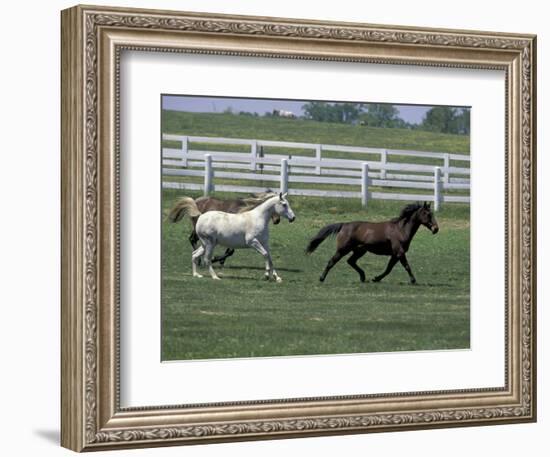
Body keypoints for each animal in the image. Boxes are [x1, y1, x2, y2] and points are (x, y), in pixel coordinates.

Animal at [306, 201, 440, 284]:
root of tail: (344, 225)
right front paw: (413, 281)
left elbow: (388, 269)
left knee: (351, 261)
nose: (436, 229)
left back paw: (363, 277)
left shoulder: (395, 254)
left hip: (360, 251)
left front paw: (376, 278)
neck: (400, 230)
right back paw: (321, 278)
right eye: (427, 214)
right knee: (332, 262)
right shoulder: (399, 252)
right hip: (343, 249)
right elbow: (406, 266)